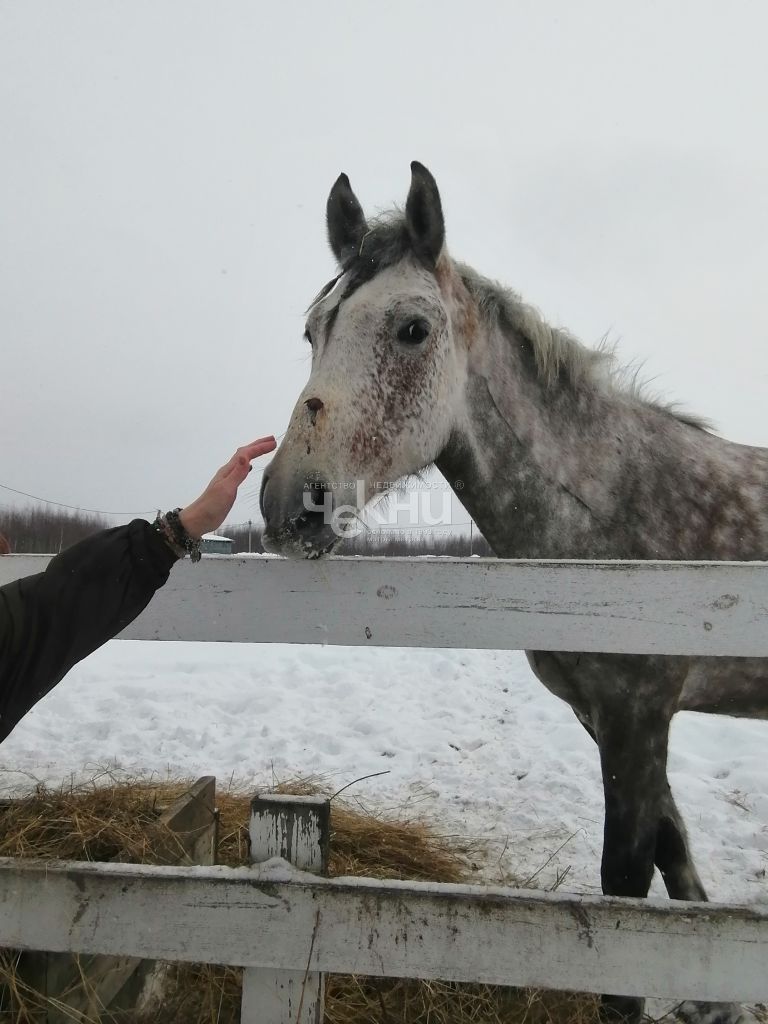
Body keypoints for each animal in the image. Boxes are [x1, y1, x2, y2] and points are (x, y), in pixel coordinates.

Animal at [260, 162, 768, 1024]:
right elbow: (675, 857)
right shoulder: (604, 717)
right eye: (313, 332)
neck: (611, 509)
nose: (292, 502)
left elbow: (627, 885)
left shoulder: (639, 713)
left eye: (412, 330)